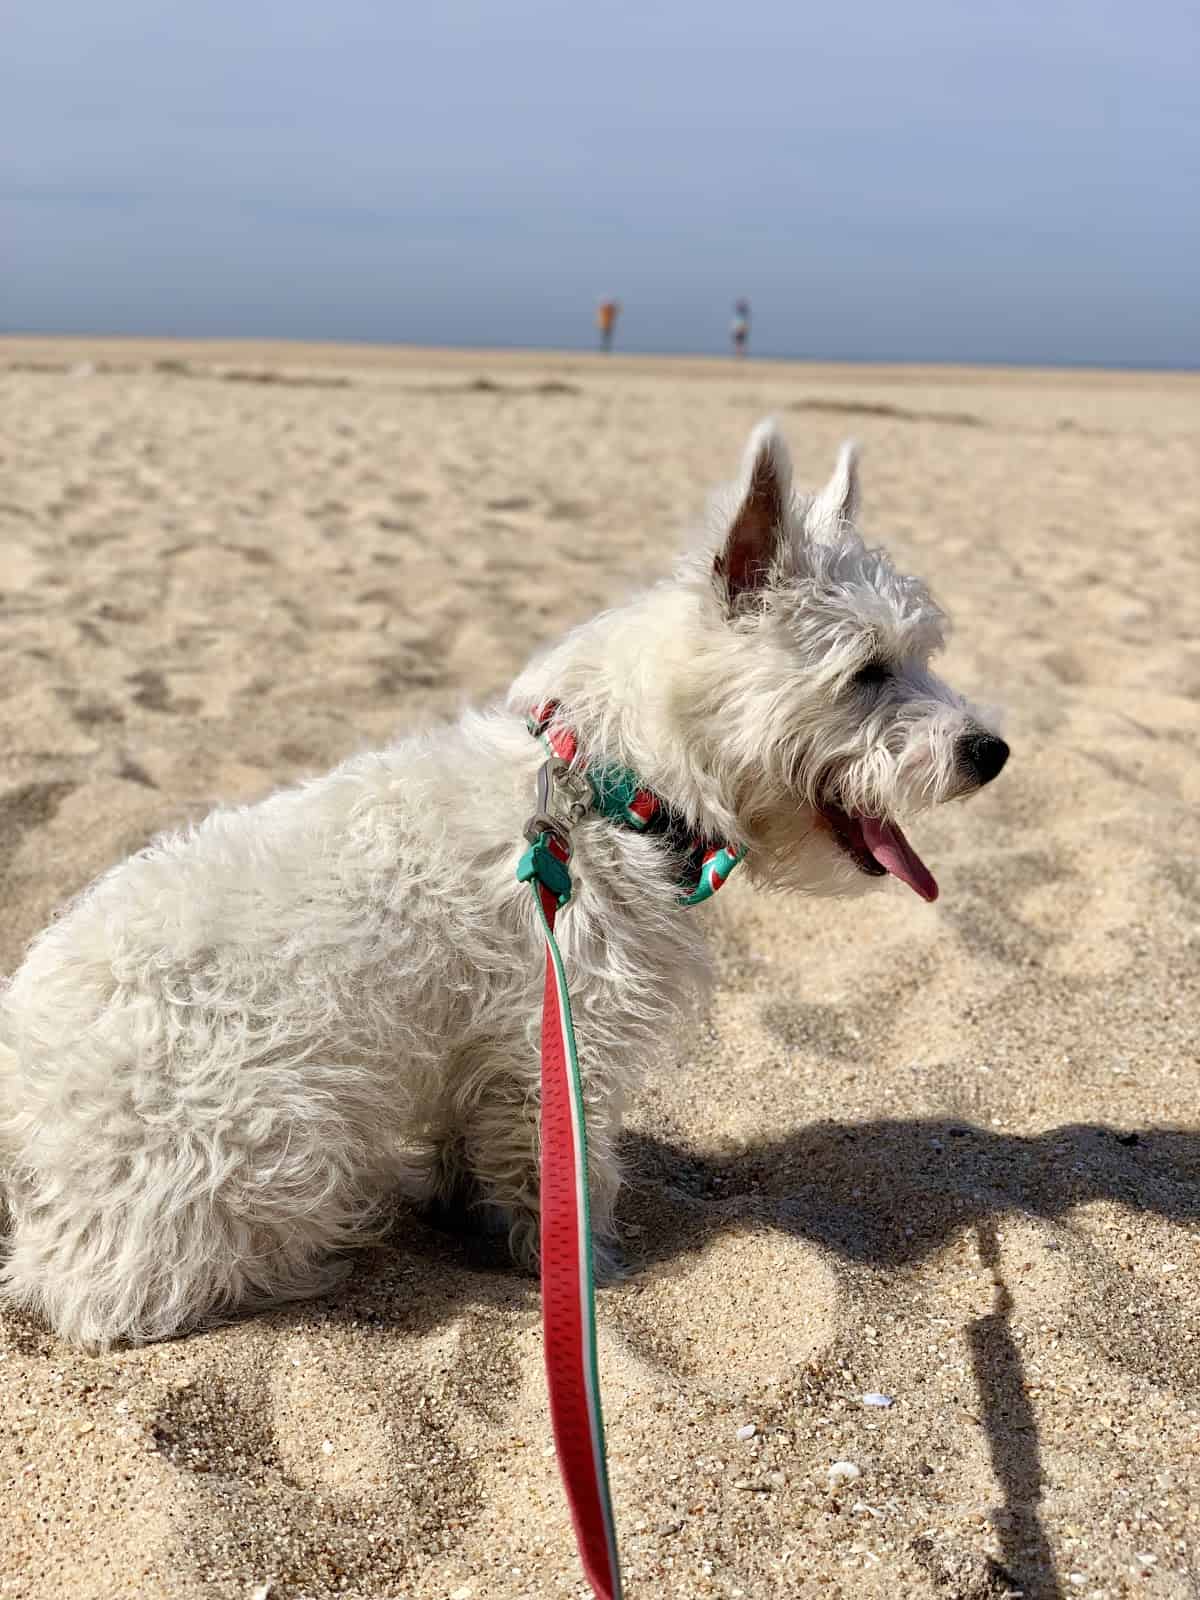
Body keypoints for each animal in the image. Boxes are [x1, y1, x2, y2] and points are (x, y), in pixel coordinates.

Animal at [2, 419, 1004, 1344]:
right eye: (866, 672)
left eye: (921, 656)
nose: (991, 753)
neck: (615, 794)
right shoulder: (565, 1035)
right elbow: (559, 1174)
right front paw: (578, 1265)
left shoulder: (498, 1048)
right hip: (266, 1132)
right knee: (104, 1287)